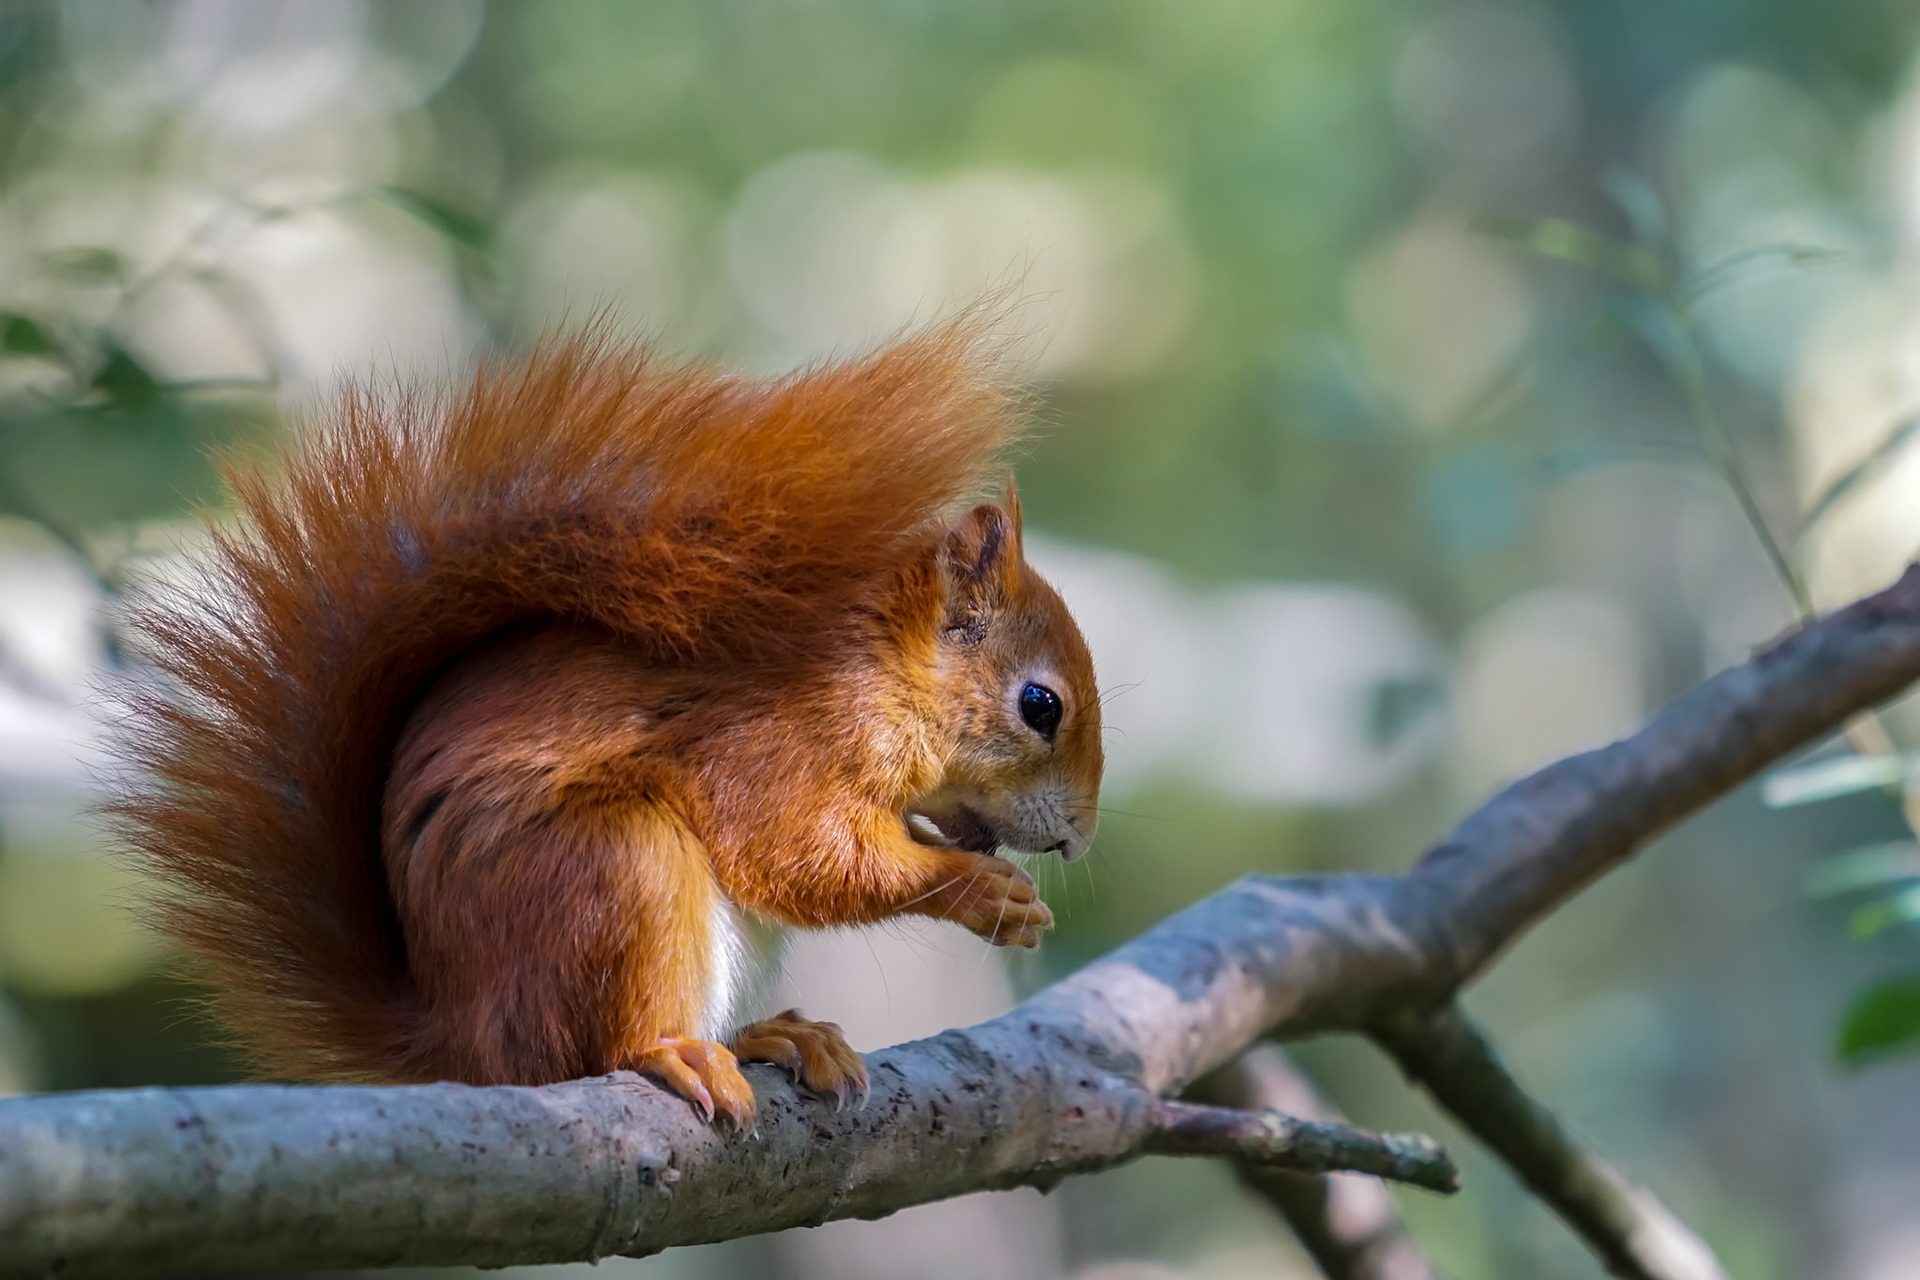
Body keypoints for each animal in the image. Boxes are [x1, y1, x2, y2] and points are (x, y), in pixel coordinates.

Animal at [114, 319, 1103, 1128]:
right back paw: (676, 1052)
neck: (874, 665)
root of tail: (464, 1044)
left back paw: (771, 1038)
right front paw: (978, 890)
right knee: (594, 1047)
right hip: (614, 864)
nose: (1078, 842)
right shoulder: (771, 737)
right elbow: (796, 854)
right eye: (1040, 705)